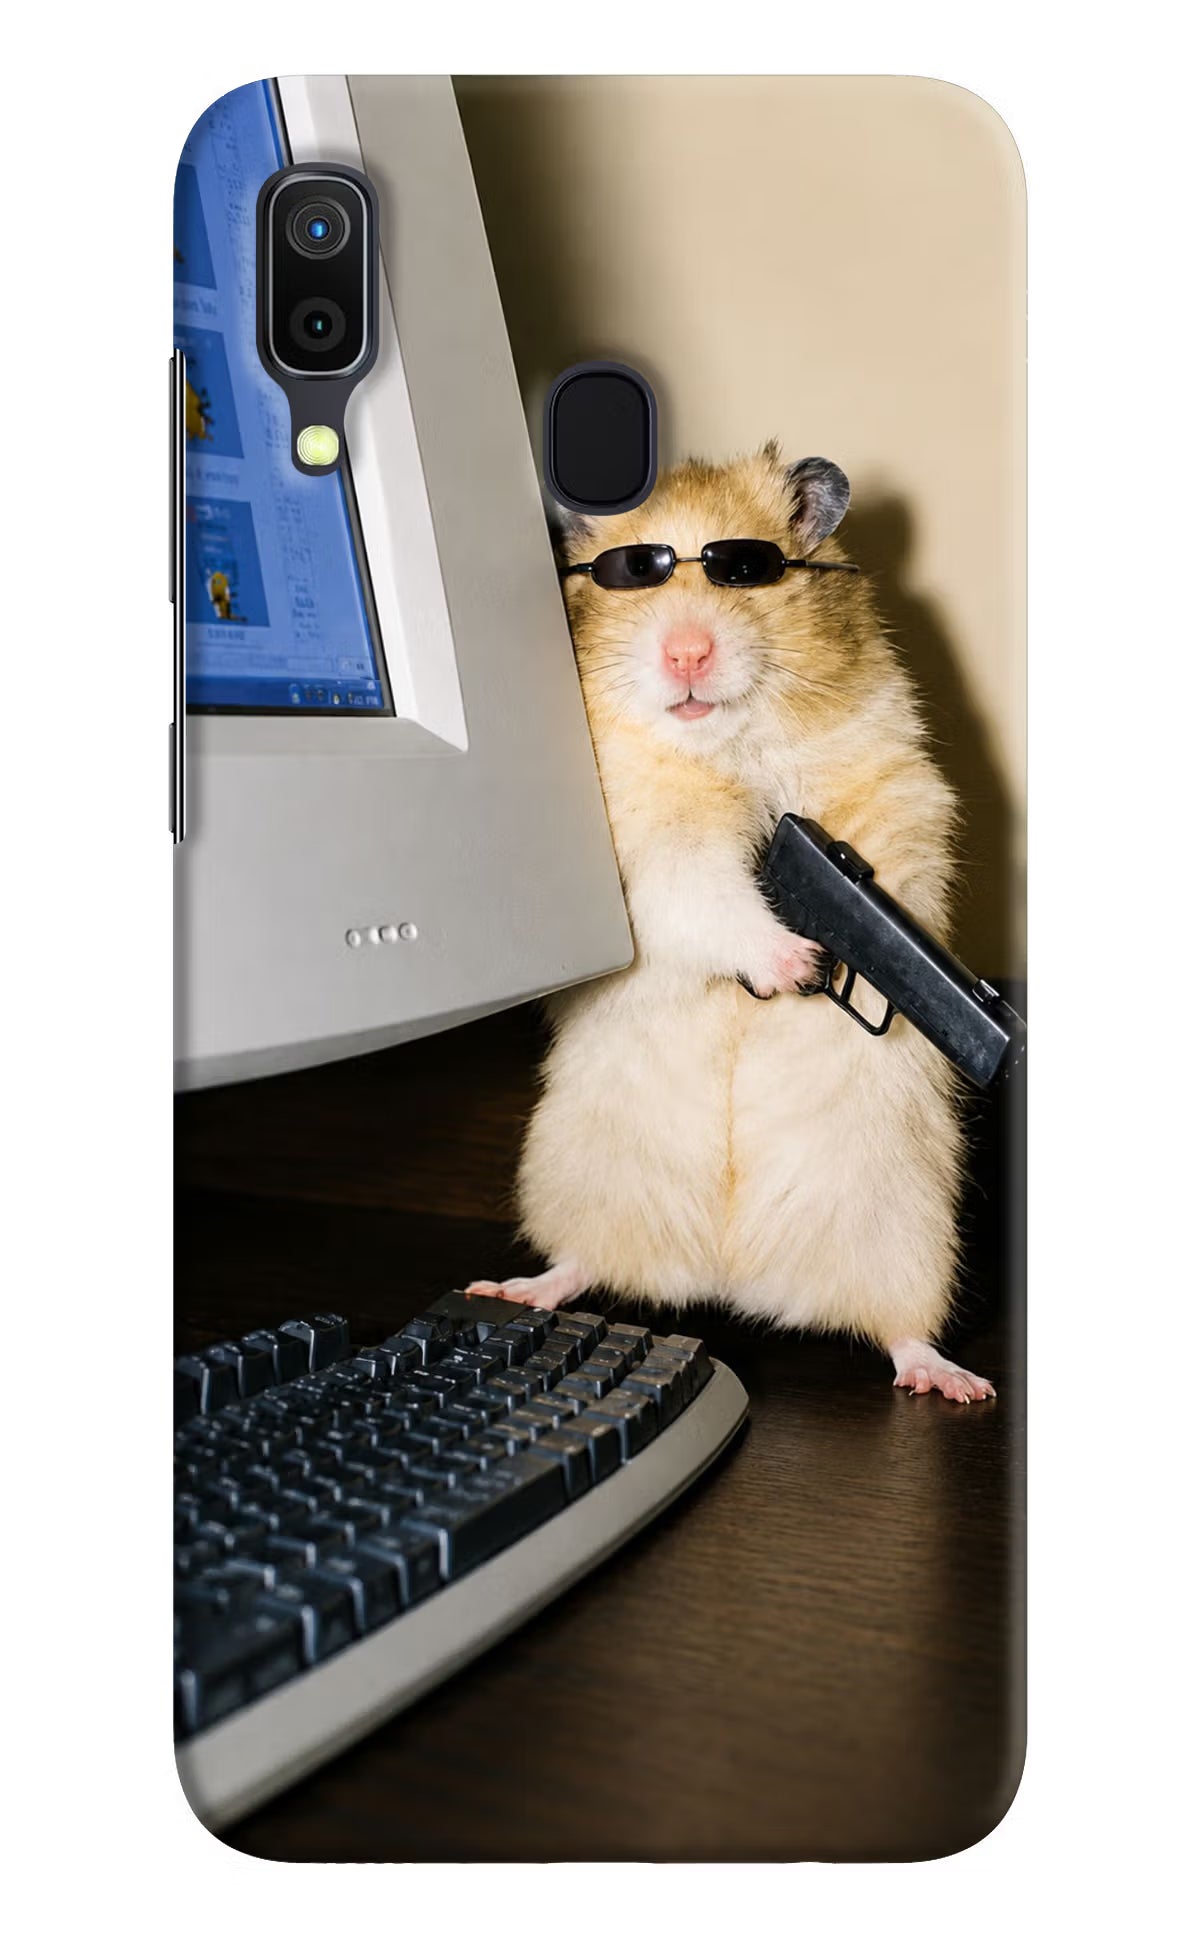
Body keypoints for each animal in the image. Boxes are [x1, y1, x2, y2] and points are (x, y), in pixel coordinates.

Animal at [468, 444, 993, 1402]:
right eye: (632, 574)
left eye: (746, 570)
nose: (686, 652)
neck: (727, 746)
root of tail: (730, 1276)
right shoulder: (650, 852)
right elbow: (708, 895)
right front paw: (797, 964)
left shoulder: (895, 791)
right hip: (578, 1176)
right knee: (582, 1263)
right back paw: (514, 1288)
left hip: (907, 1229)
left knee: (900, 1329)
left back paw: (954, 1381)